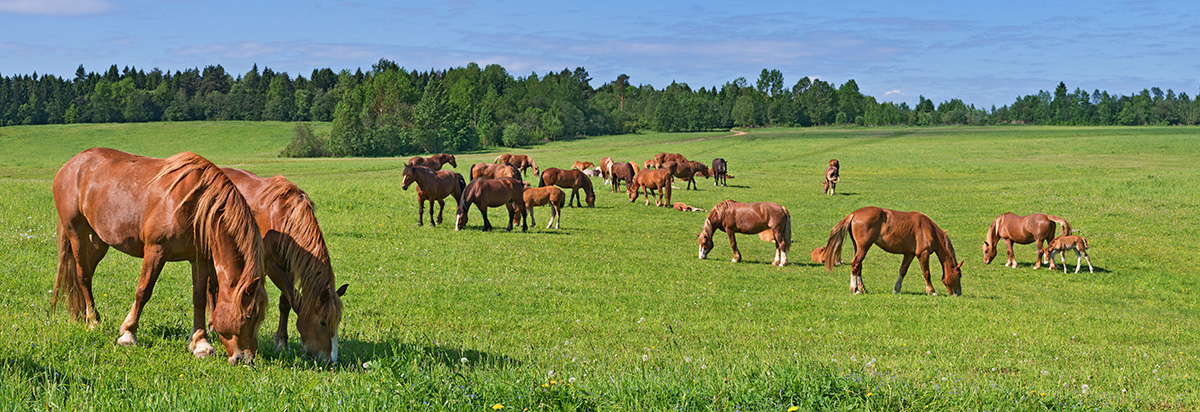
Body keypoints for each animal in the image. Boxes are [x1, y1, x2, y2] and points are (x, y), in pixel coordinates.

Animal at [52, 148, 268, 365]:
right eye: (249, 316)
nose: (247, 358)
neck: (196, 205)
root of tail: (71, 165)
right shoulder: (155, 251)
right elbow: (143, 291)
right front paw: (128, 334)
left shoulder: (199, 258)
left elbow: (199, 298)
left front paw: (201, 343)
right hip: (78, 236)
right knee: (83, 277)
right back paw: (94, 322)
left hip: (98, 243)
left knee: (85, 275)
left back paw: (87, 316)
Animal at [222, 167, 348, 363]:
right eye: (323, 322)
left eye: (338, 321)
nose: (330, 361)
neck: (283, 217)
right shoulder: (271, 265)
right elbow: (294, 300)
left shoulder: (290, 266)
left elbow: (286, 303)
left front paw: (283, 343)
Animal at [820, 207, 964, 296]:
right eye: (959, 275)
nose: (958, 293)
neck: (929, 229)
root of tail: (853, 214)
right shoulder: (923, 254)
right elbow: (926, 273)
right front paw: (931, 291)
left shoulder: (909, 254)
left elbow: (903, 271)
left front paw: (897, 289)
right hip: (863, 247)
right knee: (855, 264)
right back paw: (854, 289)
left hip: (859, 247)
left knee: (858, 265)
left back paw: (862, 288)